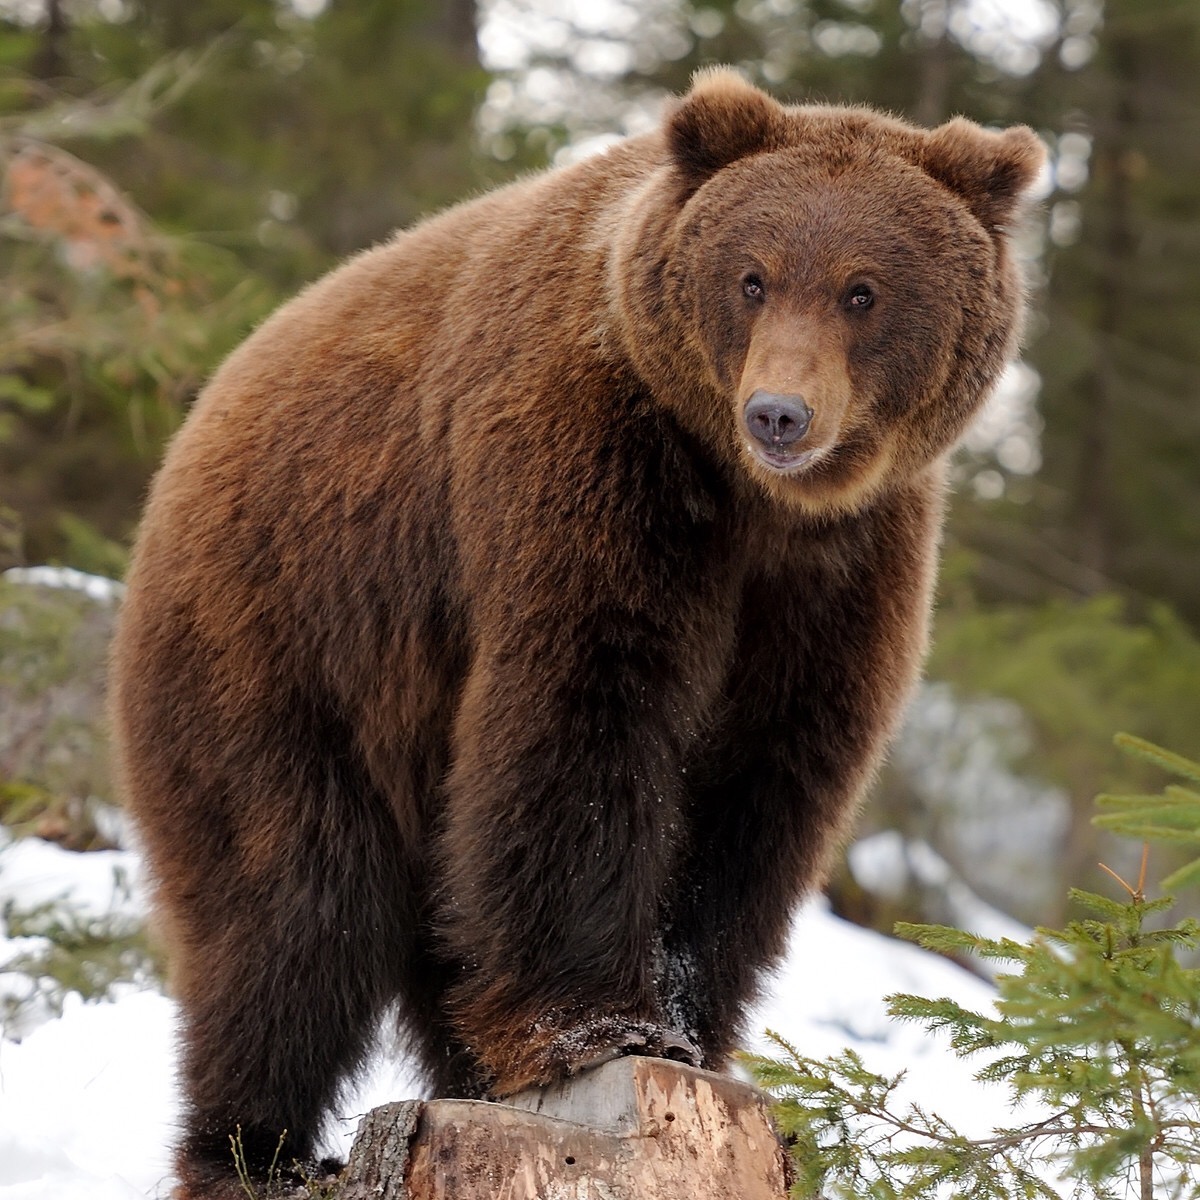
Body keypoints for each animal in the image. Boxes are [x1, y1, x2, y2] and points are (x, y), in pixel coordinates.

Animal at [109, 67, 1043, 1198]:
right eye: (753, 278)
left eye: (863, 290)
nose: (780, 413)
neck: (746, 499)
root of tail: (187, 436)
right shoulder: (589, 458)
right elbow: (586, 712)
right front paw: (598, 1027)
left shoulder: (846, 567)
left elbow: (764, 778)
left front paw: (690, 1025)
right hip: (278, 640)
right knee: (291, 911)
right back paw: (258, 1151)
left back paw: (463, 1069)